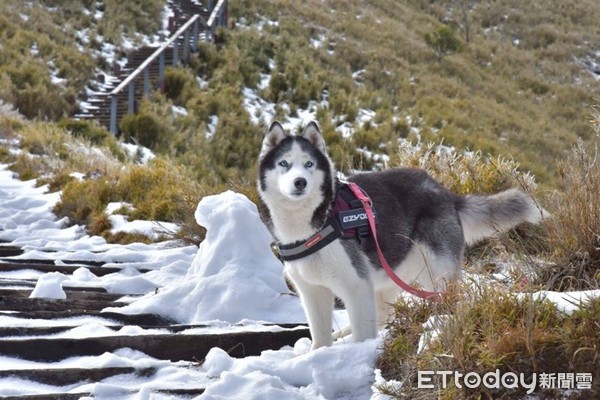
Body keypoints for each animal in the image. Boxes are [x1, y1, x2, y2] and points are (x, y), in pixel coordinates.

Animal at [258, 120, 544, 348]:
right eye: (284, 164)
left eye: (309, 164)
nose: (300, 182)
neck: (314, 224)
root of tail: (446, 194)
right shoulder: (313, 292)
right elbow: (320, 338)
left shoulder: (356, 284)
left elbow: (363, 333)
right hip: (389, 278)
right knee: (384, 317)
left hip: (436, 275)